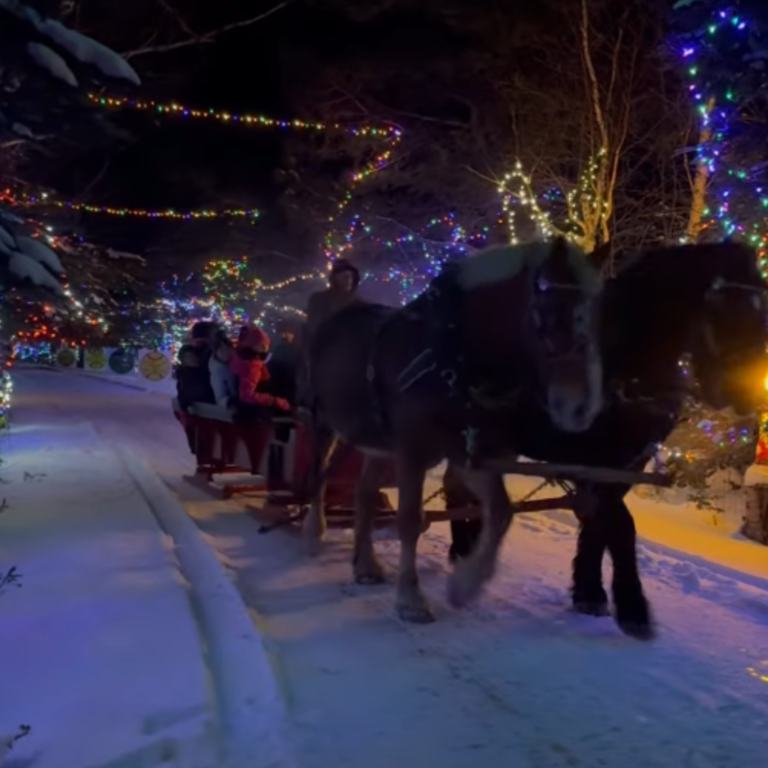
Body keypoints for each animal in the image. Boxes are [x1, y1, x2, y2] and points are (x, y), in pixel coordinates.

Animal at [305, 238, 604, 623]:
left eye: (598, 315)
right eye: (548, 312)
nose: (581, 408)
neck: (454, 355)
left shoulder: (468, 452)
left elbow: (501, 511)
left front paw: (464, 585)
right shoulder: (413, 450)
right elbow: (409, 520)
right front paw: (411, 599)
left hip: (377, 442)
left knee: (365, 493)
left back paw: (366, 563)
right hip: (323, 420)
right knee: (319, 474)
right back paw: (314, 530)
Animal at [448, 240, 767, 639]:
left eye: (761, 310)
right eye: (723, 307)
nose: (744, 396)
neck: (626, 370)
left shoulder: (627, 463)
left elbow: (602, 523)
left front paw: (589, 592)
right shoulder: (600, 460)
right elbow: (620, 524)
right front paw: (631, 608)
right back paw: (462, 547)